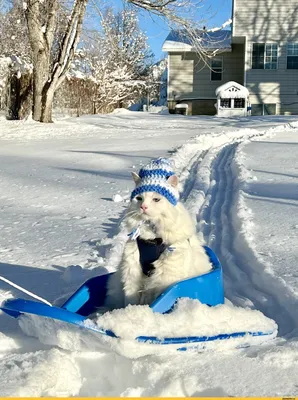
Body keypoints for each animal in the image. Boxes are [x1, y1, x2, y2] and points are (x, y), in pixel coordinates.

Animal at [106, 159, 212, 310]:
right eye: (139, 198)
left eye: (156, 200)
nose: (143, 207)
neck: (151, 236)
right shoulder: (131, 271)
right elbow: (130, 300)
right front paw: (130, 310)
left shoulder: (165, 276)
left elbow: (156, 300)